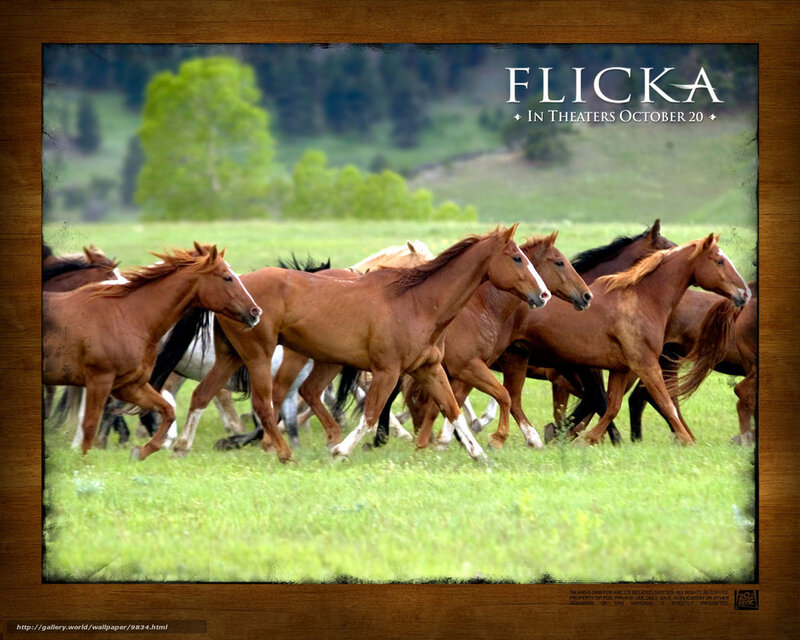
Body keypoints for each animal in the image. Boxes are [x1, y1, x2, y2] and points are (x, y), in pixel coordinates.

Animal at [43, 243, 261, 458]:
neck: (130, 314)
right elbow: (90, 423)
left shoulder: (129, 384)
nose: (256, 311)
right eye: (227, 277)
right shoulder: (101, 379)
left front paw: (144, 449)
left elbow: (167, 409)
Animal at [169, 225, 550, 463]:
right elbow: (370, 415)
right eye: (517, 258)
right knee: (266, 403)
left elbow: (453, 409)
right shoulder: (386, 372)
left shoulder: (429, 369)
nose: (543, 295)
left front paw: (478, 453)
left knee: (204, 394)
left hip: (234, 357)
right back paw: (285, 452)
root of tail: (238, 287)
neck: (418, 303)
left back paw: (182, 446)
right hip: (260, 356)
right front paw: (342, 451)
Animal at [495, 235, 750, 446]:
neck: (643, 299)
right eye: (719, 261)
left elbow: (611, 406)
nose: (744, 293)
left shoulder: (620, 369)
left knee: (510, 397)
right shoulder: (645, 364)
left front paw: (587, 439)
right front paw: (686, 440)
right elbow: (665, 403)